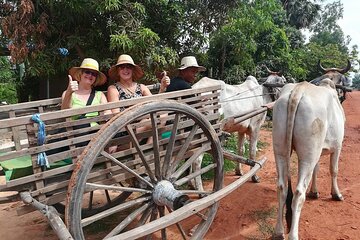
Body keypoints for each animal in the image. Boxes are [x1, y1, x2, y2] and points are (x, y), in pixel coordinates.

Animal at [272, 79, 346, 239]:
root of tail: (299, 89)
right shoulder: (338, 146)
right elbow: (334, 170)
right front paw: (336, 194)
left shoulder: (318, 152)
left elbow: (317, 170)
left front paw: (314, 192)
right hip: (308, 155)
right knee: (299, 192)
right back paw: (293, 235)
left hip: (281, 150)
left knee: (282, 187)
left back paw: (279, 232)